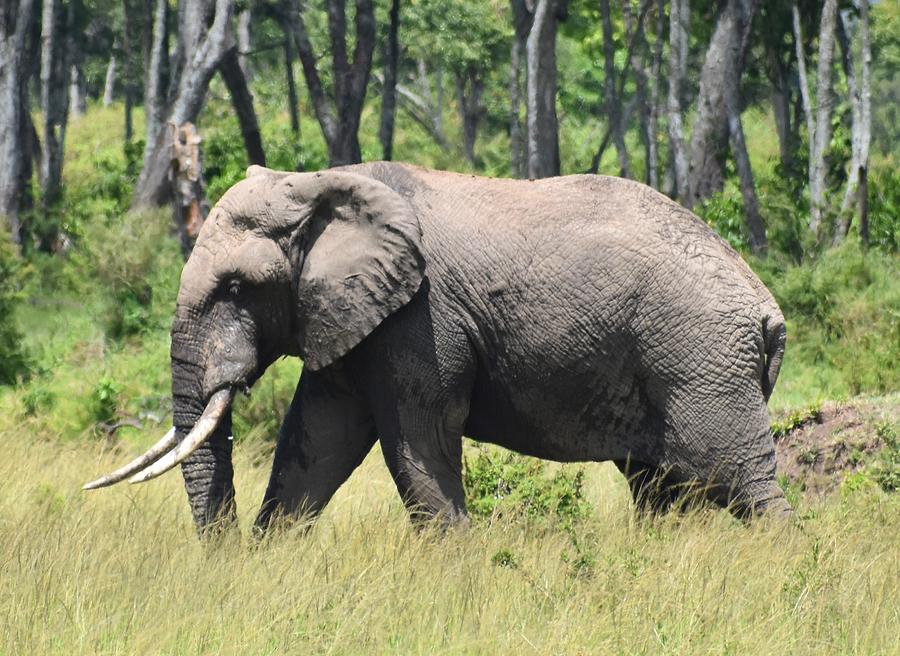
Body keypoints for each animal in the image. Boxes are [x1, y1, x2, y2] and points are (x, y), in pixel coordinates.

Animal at [82, 160, 788, 532]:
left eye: (236, 287)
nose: (227, 553)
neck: (320, 182)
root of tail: (766, 308)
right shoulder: (351, 318)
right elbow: (317, 442)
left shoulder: (419, 319)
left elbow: (416, 443)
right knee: (661, 488)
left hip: (701, 360)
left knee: (734, 477)